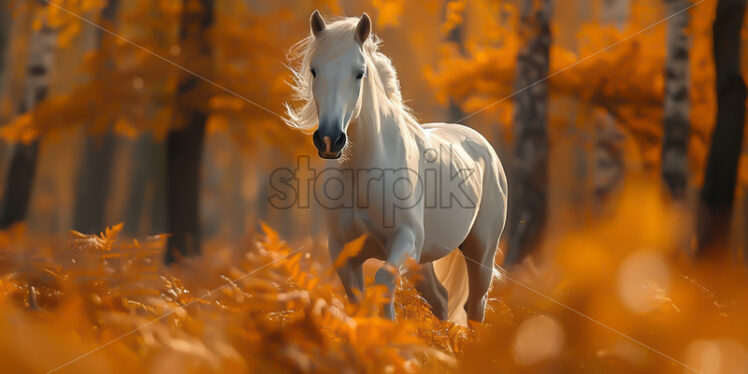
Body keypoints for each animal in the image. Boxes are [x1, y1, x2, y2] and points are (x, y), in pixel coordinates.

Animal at [286, 10, 508, 322]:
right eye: (314, 70)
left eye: (359, 73)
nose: (330, 139)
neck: (363, 172)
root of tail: (484, 147)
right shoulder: (344, 254)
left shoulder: (405, 242)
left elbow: (383, 283)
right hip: (424, 261)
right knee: (441, 300)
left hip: (481, 254)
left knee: (474, 307)